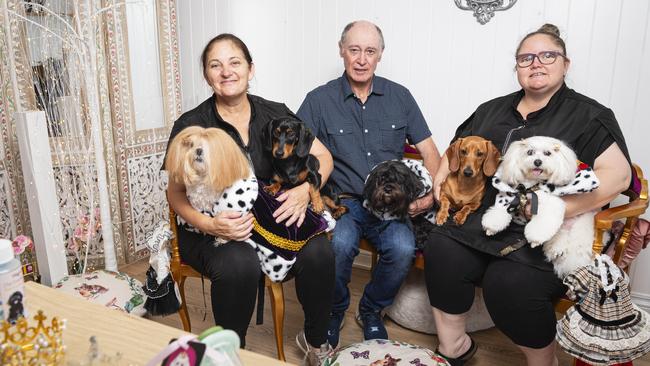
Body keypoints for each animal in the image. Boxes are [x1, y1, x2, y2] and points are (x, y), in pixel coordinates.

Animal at [478, 137, 600, 278]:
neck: (530, 187)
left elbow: (543, 223)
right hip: (562, 230)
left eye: (548, 153)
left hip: (583, 225)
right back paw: (555, 250)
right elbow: (499, 211)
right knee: (559, 236)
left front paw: (535, 238)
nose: (537, 161)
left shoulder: (552, 203)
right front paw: (491, 227)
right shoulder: (508, 196)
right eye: (530, 152)